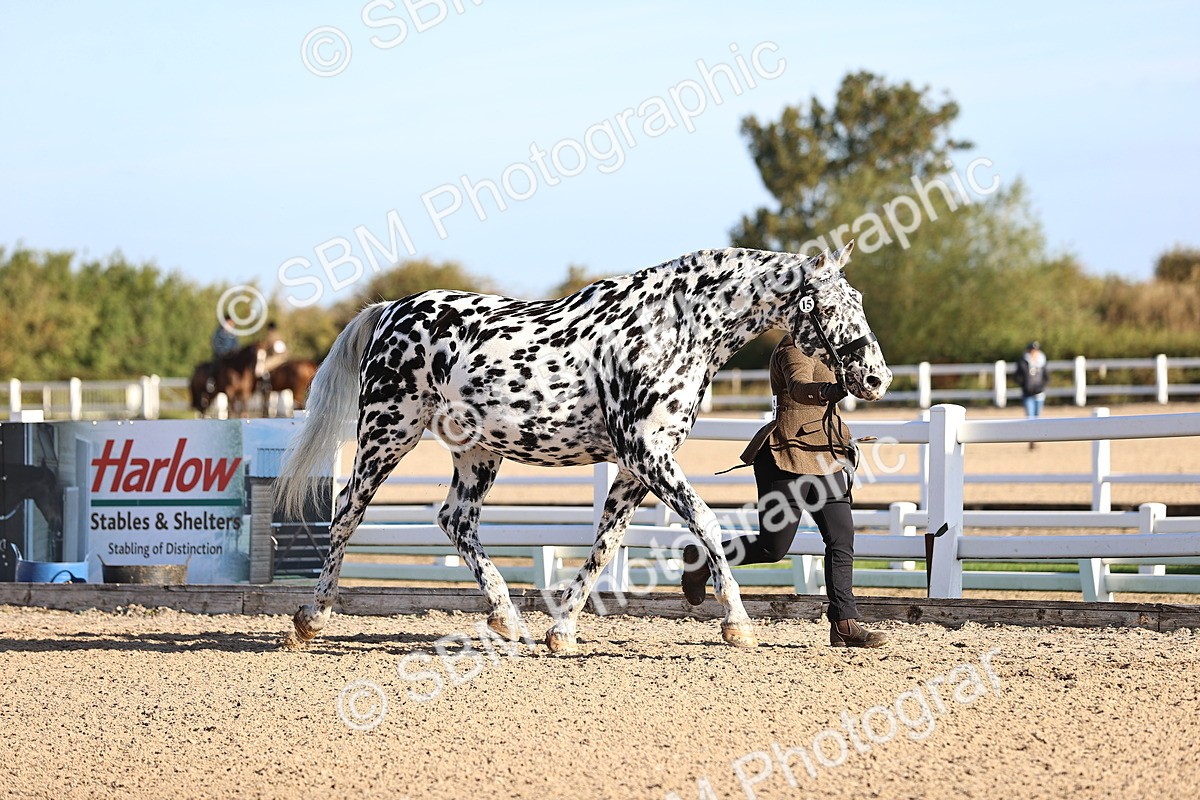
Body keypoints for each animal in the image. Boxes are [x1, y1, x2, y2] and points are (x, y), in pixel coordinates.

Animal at [275, 242, 891, 653]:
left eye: (859, 298)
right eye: (831, 306)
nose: (876, 378)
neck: (677, 330)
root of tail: (391, 311)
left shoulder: (636, 467)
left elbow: (606, 545)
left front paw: (561, 631)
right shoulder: (647, 455)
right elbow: (707, 523)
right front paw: (736, 624)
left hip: (477, 451)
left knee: (455, 521)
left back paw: (507, 620)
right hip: (389, 432)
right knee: (347, 513)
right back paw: (311, 618)